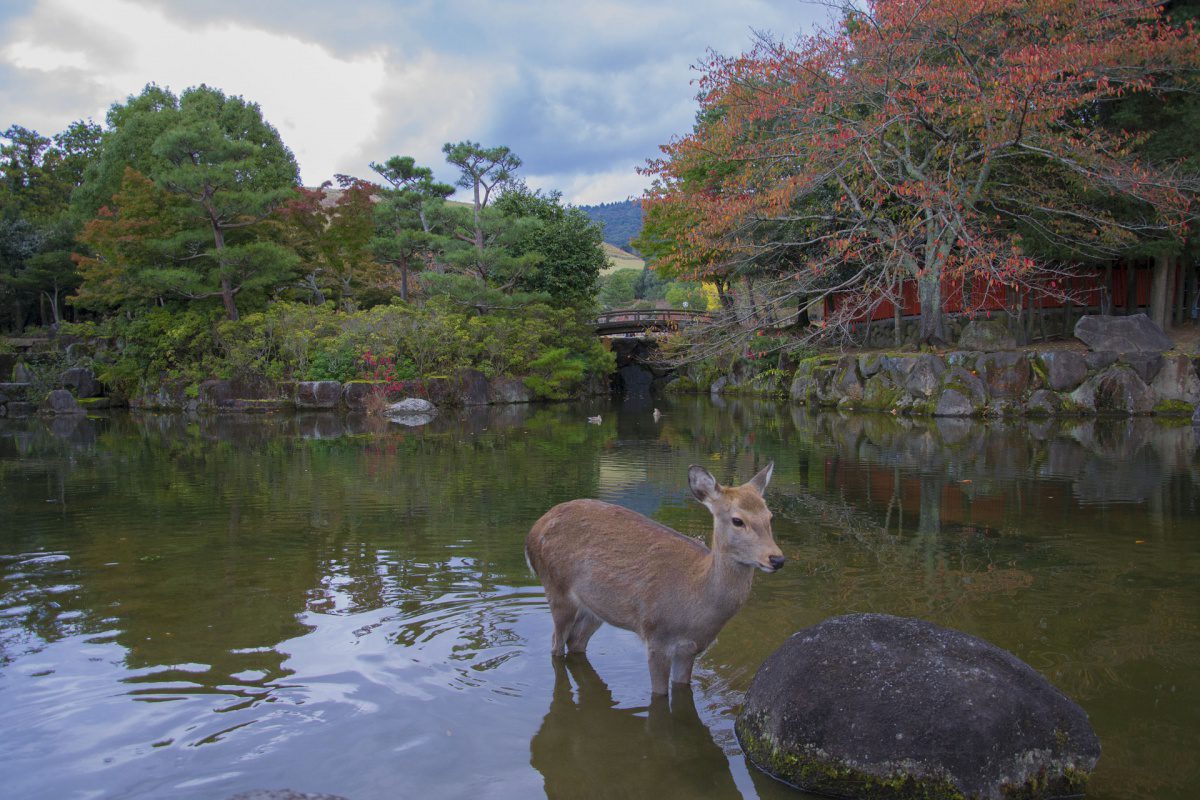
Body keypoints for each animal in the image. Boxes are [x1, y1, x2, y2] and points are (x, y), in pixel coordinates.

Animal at [525, 462, 777, 695]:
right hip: (556, 587)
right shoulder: (657, 637)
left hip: (597, 607)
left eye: (770, 517)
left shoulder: (690, 649)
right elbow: (659, 695)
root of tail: (533, 532)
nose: (777, 558)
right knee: (556, 645)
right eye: (738, 520)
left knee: (576, 641)